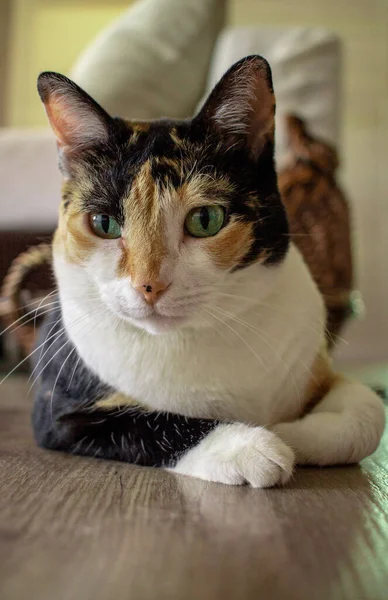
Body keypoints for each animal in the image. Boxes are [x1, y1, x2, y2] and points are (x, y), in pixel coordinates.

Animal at [26, 56, 384, 488]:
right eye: (104, 223)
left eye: (206, 219)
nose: (149, 286)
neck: (197, 337)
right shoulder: (62, 415)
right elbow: (150, 422)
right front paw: (254, 444)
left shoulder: (320, 368)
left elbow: (370, 415)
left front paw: (295, 432)